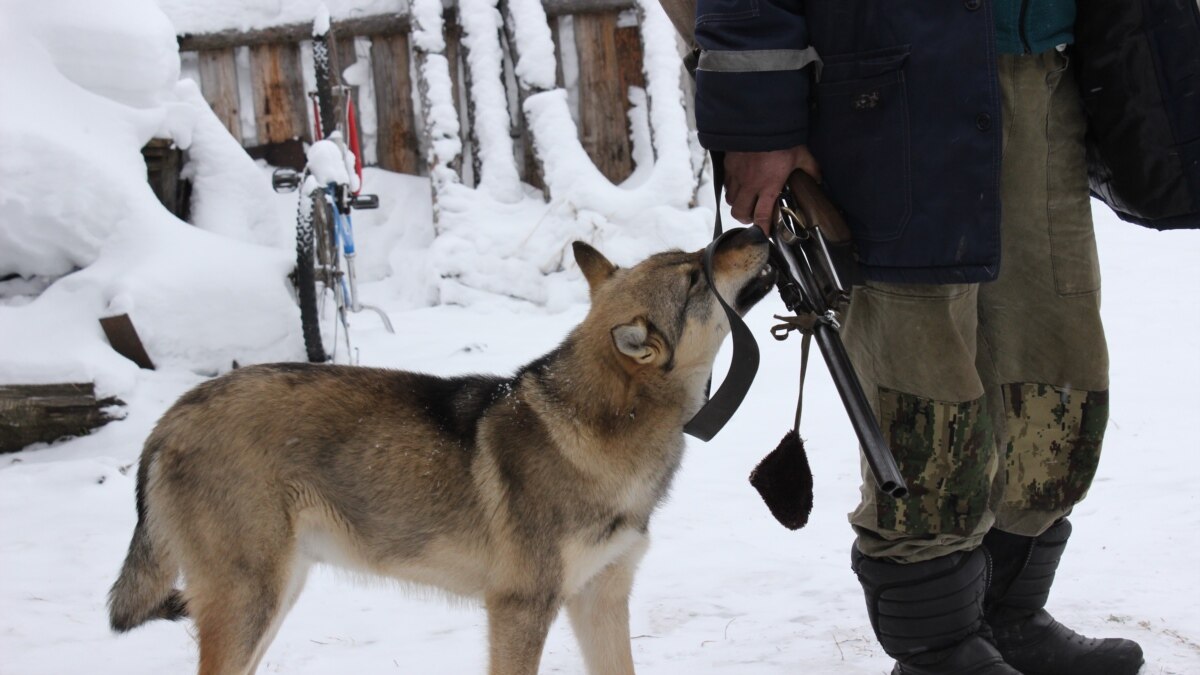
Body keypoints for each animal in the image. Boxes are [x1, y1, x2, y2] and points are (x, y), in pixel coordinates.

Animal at [108, 227, 772, 672]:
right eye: (694, 276)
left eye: (695, 258)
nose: (752, 229)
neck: (601, 433)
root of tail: (169, 418)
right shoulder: (519, 609)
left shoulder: (601, 600)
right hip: (252, 603)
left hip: (277, 594)